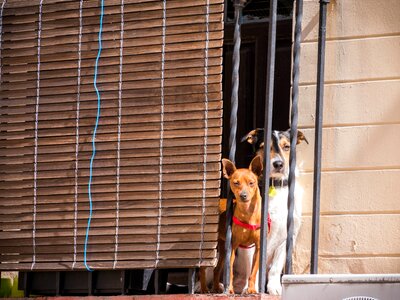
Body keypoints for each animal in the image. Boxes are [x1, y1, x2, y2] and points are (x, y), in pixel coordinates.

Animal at [200, 156, 266, 294]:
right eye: (236, 183)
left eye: (251, 183)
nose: (243, 195)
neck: (248, 213)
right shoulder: (233, 246)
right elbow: (229, 271)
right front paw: (229, 289)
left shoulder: (258, 248)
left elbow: (253, 272)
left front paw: (251, 289)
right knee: (202, 268)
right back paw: (204, 289)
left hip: (222, 247)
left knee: (216, 269)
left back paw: (216, 288)